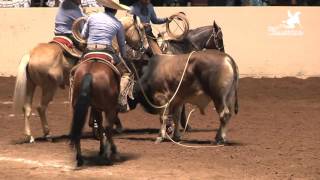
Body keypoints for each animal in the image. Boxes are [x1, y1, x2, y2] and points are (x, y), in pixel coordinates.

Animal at [12, 13, 148, 143]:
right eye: (141, 28)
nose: (146, 47)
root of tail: (30, 55)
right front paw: (105, 127)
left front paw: (95, 127)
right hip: (49, 87)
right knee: (41, 108)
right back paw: (48, 135)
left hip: (31, 85)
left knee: (27, 108)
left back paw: (30, 136)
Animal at [69, 14, 148, 167]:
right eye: (141, 28)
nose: (146, 47)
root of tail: (90, 72)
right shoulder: (110, 108)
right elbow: (108, 126)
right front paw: (107, 149)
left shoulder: (96, 107)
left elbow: (99, 124)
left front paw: (101, 148)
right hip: (109, 106)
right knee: (107, 127)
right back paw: (112, 154)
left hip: (79, 104)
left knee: (79, 126)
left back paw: (80, 158)